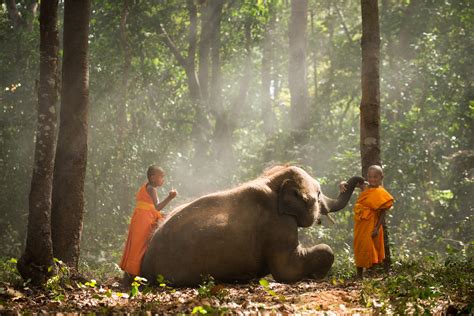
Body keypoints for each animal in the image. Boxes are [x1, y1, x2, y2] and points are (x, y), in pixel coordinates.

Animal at [141, 165, 362, 286]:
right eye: (318, 194)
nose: (361, 180)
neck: (273, 180)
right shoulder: (277, 223)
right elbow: (286, 270)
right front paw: (316, 275)